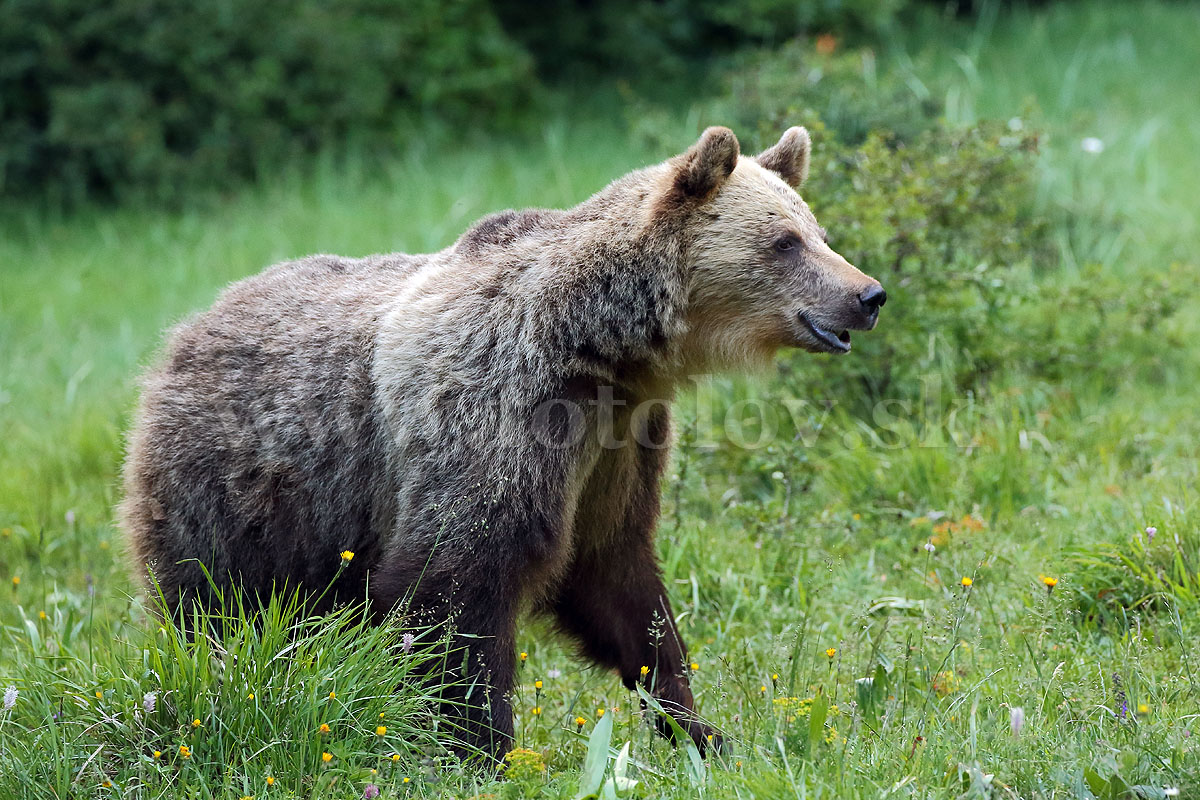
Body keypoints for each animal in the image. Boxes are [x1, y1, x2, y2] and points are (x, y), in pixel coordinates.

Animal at [119, 125, 883, 762]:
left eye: (818, 231)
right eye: (785, 242)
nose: (868, 294)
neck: (602, 348)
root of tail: (190, 326)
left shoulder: (616, 444)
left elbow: (619, 580)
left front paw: (701, 730)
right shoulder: (501, 409)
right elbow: (461, 578)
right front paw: (482, 750)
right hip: (247, 489)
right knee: (220, 607)